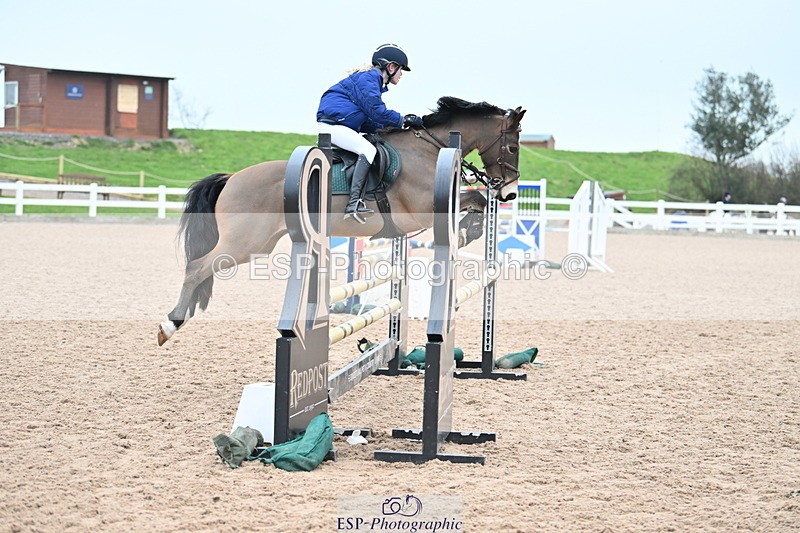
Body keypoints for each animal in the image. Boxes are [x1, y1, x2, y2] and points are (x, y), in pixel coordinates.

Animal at [157, 96, 526, 346]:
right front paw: (467, 230)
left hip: (256, 244)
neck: (430, 149)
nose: (509, 193)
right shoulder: (422, 209)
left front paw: (470, 229)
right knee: (197, 268)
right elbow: (476, 198)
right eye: (512, 148)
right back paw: (169, 325)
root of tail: (232, 178)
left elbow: (477, 200)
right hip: (244, 243)